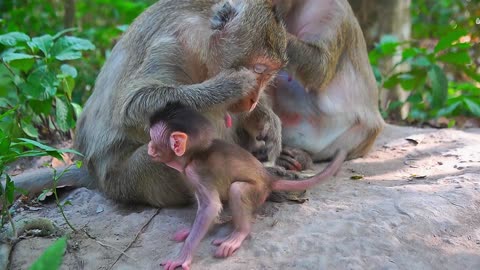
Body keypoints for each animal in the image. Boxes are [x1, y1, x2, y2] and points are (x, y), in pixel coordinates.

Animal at [148, 103, 344, 270]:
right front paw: (194, 230)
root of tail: (268, 178)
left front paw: (183, 257)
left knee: (237, 189)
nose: (149, 148)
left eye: (152, 139)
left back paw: (239, 234)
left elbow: (211, 207)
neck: (193, 155)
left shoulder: (196, 171)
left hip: (258, 191)